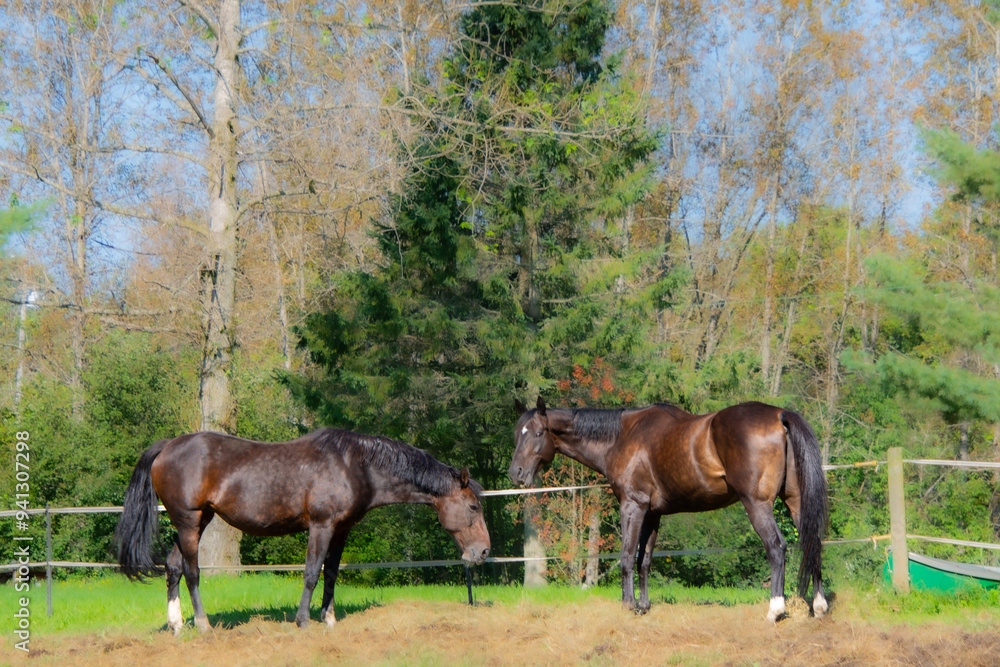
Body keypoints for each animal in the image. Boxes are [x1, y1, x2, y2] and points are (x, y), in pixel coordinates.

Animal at [116, 428, 491, 634]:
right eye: (474, 507)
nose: (484, 551)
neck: (355, 464)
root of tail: (167, 445)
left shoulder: (341, 530)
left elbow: (331, 574)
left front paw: (330, 618)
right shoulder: (321, 526)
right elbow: (311, 572)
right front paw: (304, 620)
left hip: (196, 521)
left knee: (173, 566)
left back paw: (177, 625)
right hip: (189, 521)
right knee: (192, 571)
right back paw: (203, 624)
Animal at [509, 397, 827, 622]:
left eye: (538, 432)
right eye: (517, 433)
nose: (516, 474)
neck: (623, 436)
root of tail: (779, 415)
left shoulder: (632, 506)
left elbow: (627, 556)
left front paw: (628, 605)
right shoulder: (653, 514)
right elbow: (645, 560)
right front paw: (643, 605)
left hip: (757, 504)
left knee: (776, 546)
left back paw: (775, 609)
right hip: (795, 502)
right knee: (812, 542)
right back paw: (819, 605)